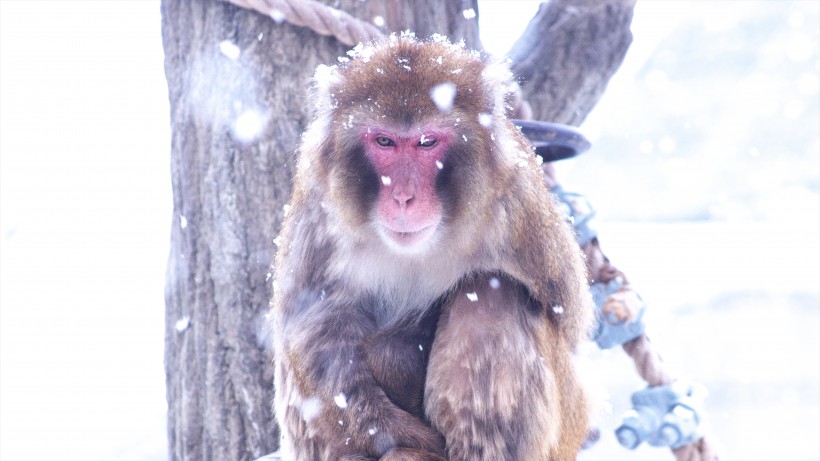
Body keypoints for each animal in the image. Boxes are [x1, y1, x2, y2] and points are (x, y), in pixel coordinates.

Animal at [272, 34, 592, 458]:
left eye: (426, 142)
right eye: (385, 141)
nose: (403, 196)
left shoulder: (519, 204)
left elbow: (569, 321)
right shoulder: (317, 201)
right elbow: (314, 326)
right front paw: (392, 433)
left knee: (489, 298)